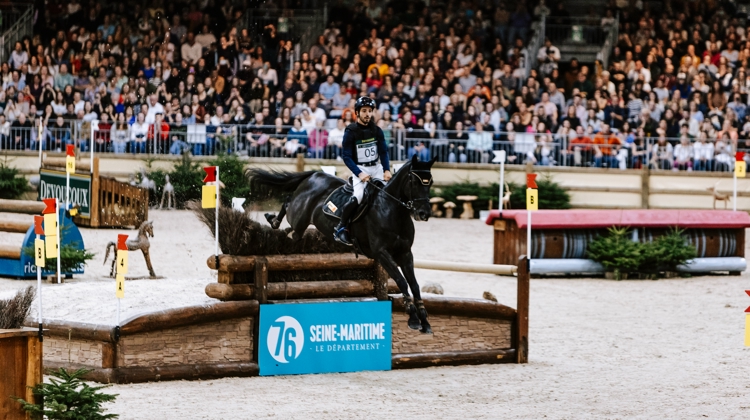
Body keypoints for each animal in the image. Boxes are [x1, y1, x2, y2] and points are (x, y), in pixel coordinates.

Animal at [248, 156, 434, 334]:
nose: (424, 213)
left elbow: (414, 285)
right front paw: (414, 319)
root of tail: (314, 175)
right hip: (298, 217)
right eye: (414, 181)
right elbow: (402, 281)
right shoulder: (382, 254)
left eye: (430, 182)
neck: (392, 211)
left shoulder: (405, 253)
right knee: (287, 203)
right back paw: (272, 220)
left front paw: (425, 321)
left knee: (292, 224)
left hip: (300, 227)